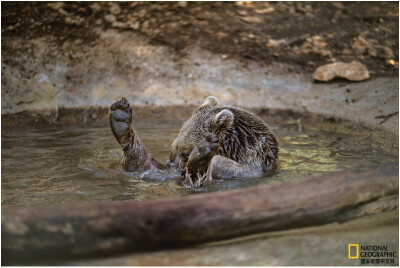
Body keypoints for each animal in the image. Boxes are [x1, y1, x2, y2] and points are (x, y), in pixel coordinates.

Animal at [108, 96, 278, 186]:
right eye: (173, 149)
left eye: (185, 153)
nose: (177, 166)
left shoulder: (244, 171)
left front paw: (201, 156)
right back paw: (120, 117)